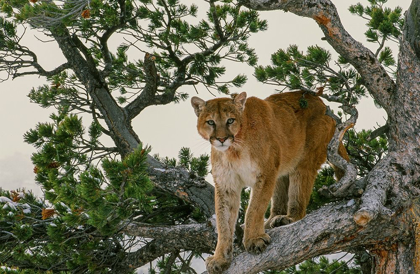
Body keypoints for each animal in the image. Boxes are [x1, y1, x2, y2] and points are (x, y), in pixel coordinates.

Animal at [190, 90, 348, 272]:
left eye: (230, 120)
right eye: (210, 122)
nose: (221, 139)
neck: (233, 150)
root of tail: (320, 101)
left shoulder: (265, 175)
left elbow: (254, 209)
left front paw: (253, 240)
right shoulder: (226, 185)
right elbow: (223, 223)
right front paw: (220, 258)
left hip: (304, 162)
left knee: (299, 202)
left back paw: (288, 218)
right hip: (280, 169)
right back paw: (271, 221)